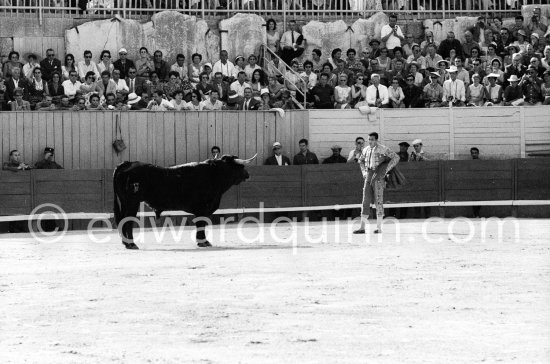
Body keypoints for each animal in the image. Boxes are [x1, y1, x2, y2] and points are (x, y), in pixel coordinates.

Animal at [115, 154, 258, 250]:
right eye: (241, 166)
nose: (248, 174)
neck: (214, 175)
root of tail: (127, 163)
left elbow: (201, 224)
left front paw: (203, 242)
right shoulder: (203, 208)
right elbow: (201, 224)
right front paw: (203, 242)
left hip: (124, 203)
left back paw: (125, 243)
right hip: (132, 202)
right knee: (128, 221)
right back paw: (131, 244)